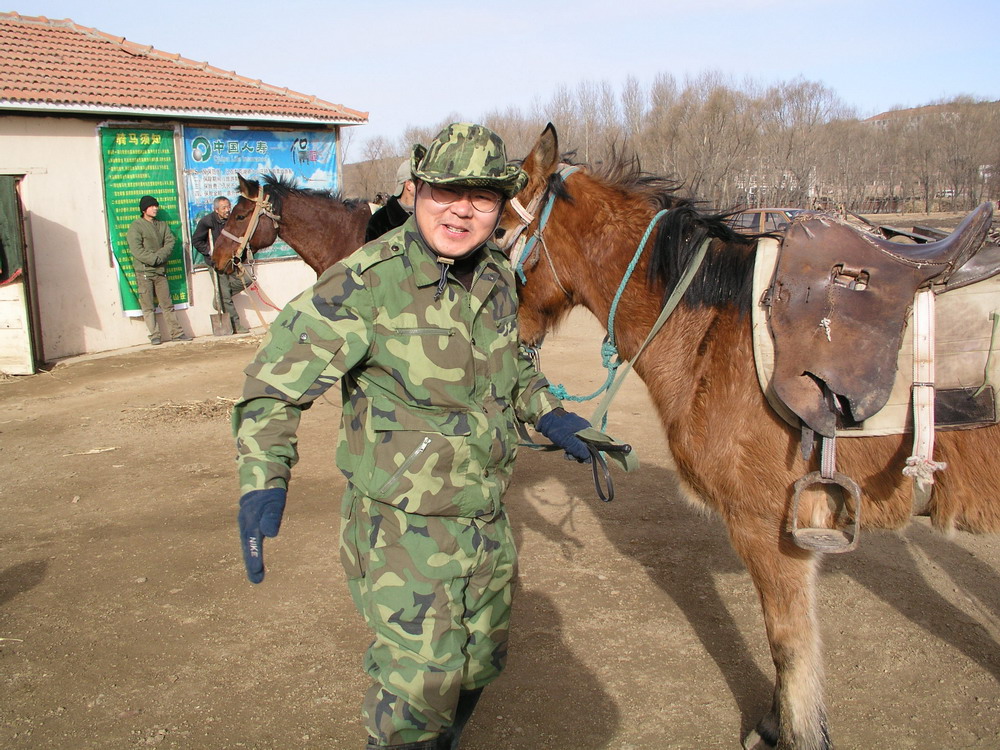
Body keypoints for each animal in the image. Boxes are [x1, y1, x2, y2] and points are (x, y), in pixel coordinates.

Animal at [500, 125, 1000, 750]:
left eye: (498, 232)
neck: (715, 327)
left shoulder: (768, 528)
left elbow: (788, 644)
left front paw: (796, 732)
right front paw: (774, 722)